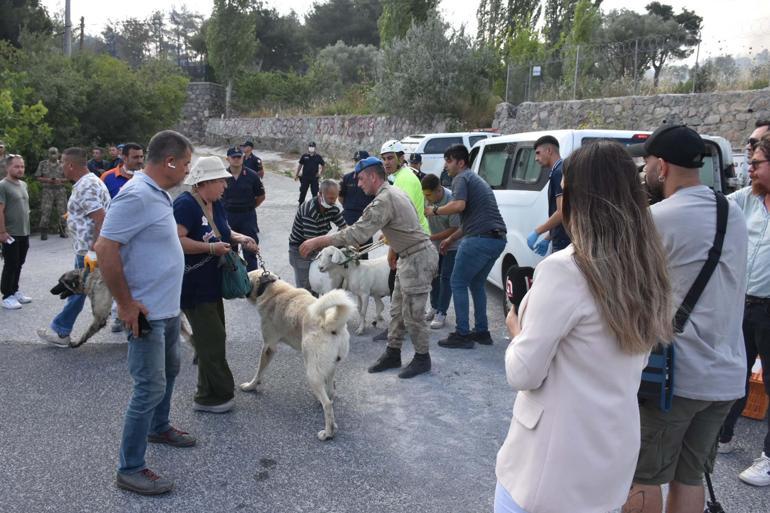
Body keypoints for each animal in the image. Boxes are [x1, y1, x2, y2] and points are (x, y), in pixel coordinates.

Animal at [238, 268, 356, 440]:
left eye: (246, 278)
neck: (271, 288)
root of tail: (331, 324)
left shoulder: (268, 347)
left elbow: (259, 372)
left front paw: (251, 386)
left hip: (312, 373)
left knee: (327, 404)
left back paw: (328, 432)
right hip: (330, 367)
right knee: (330, 393)